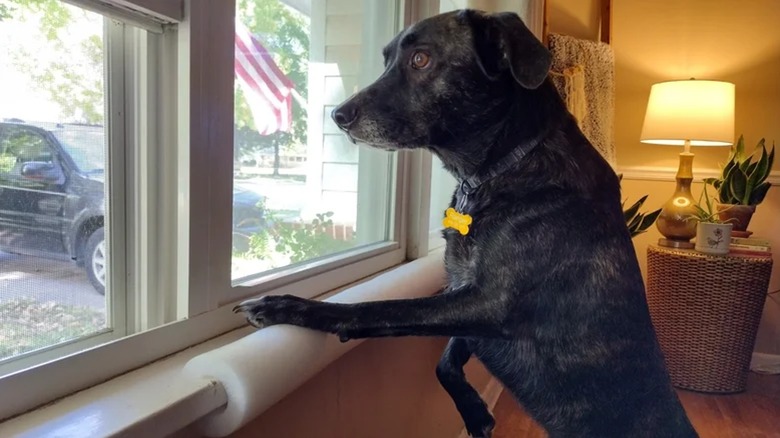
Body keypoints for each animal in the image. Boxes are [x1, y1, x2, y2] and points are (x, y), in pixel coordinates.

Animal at [235, 10, 696, 438]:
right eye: (387, 60)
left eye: (421, 59)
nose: (338, 116)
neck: (507, 164)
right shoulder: (464, 296)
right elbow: (443, 360)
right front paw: (475, 412)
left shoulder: (489, 304)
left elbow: (378, 309)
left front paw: (287, 306)